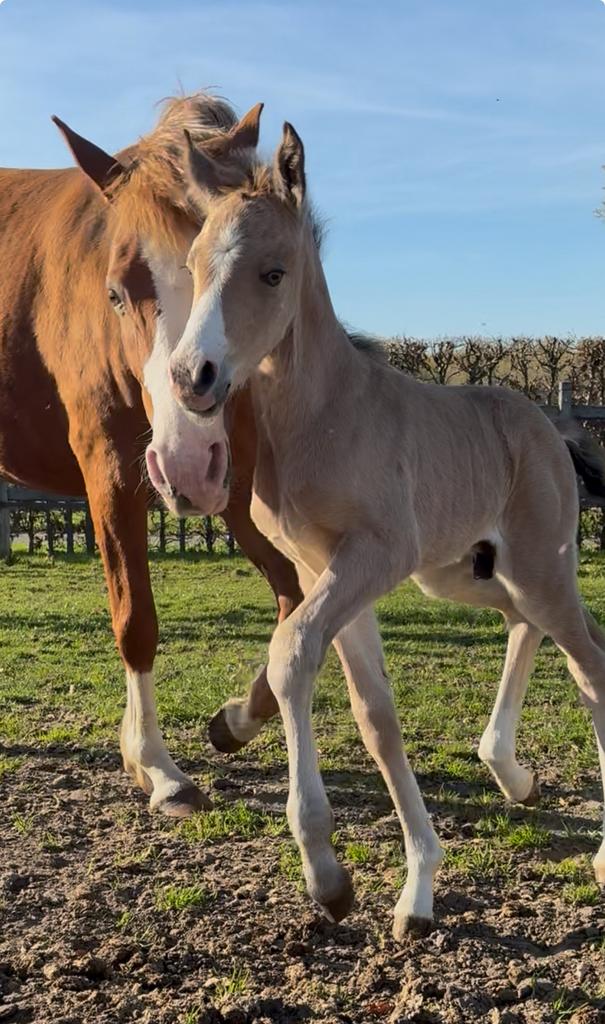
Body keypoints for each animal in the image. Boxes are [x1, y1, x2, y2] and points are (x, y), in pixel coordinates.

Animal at [0, 94, 302, 818]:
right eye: (115, 292)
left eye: (261, 275)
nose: (185, 461)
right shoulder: (111, 472)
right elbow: (135, 618)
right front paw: (154, 766)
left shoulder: (238, 487)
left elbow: (293, 598)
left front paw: (234, 721)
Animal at [166, 113, 605, 939]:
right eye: (195, 265)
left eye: (273, 273)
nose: (190, 377)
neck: (321, 414)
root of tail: (548, 426)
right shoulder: (323, 568)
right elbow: (375, 717)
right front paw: (413, 888)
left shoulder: (373, 554)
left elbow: (289, 651)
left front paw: (324, 871)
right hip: (465, 573)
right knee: (533, 628)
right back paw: (509, 771)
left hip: (534, 564)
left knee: (588, 662)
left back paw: (594, 851)